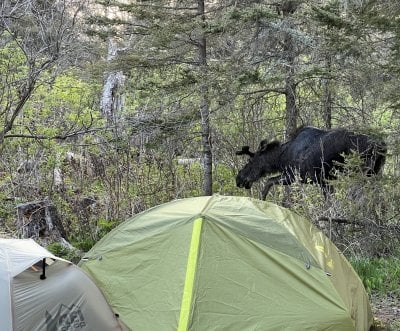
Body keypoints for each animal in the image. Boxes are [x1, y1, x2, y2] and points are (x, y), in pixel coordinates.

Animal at [236, 126, 386, 200]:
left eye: (250, 161)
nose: (238, 178)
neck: (282, 158)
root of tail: (382, 145)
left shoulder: (295, 175)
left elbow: (268, 181)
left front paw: (261, 201)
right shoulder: (324, 182)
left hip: (360, 172)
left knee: (360, 197)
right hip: (375, 172)